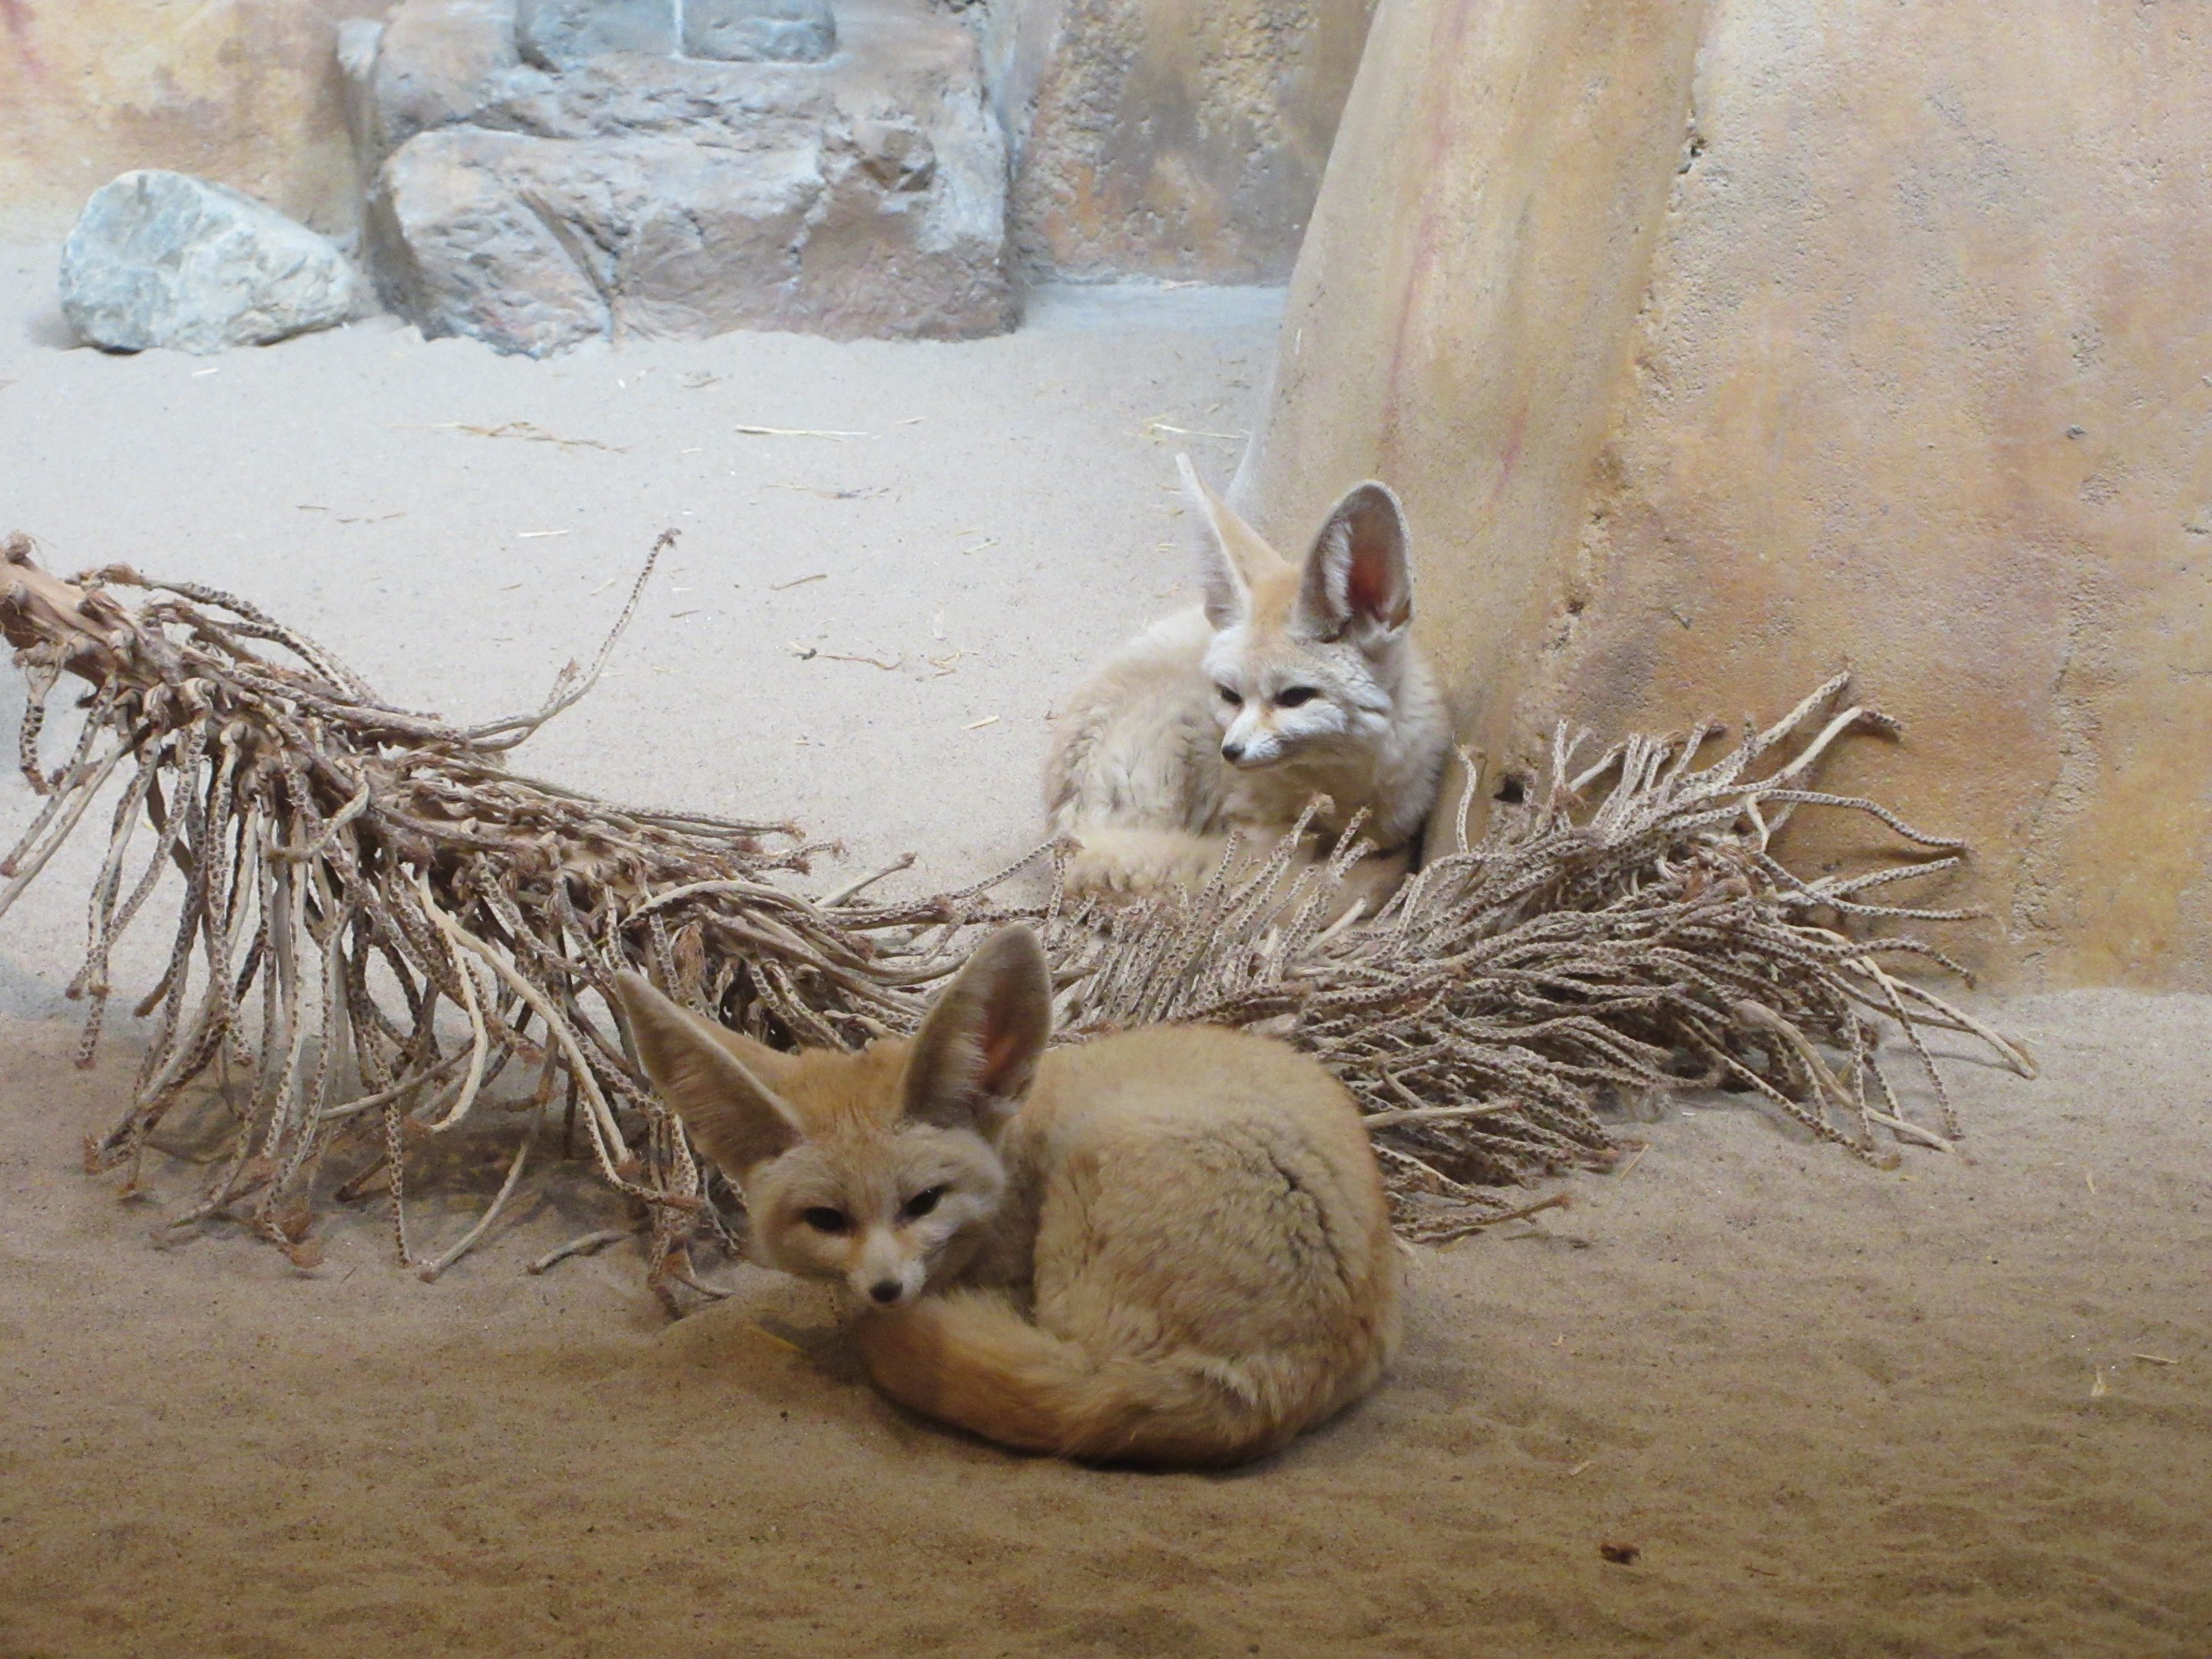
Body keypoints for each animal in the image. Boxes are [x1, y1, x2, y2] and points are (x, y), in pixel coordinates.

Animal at [613, 924, 1400, 1467]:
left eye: (924, 1202)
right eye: (828, 1219)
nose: (887, 1291)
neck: (1012, 1148)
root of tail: (1273, 1382)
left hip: (1096, 1183)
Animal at [1044, 455, 1451, 908]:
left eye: (1295, 697)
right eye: (1230, 695)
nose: (1231, 752)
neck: (1340, 785)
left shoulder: (1396, 814)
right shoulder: (1255, 825)